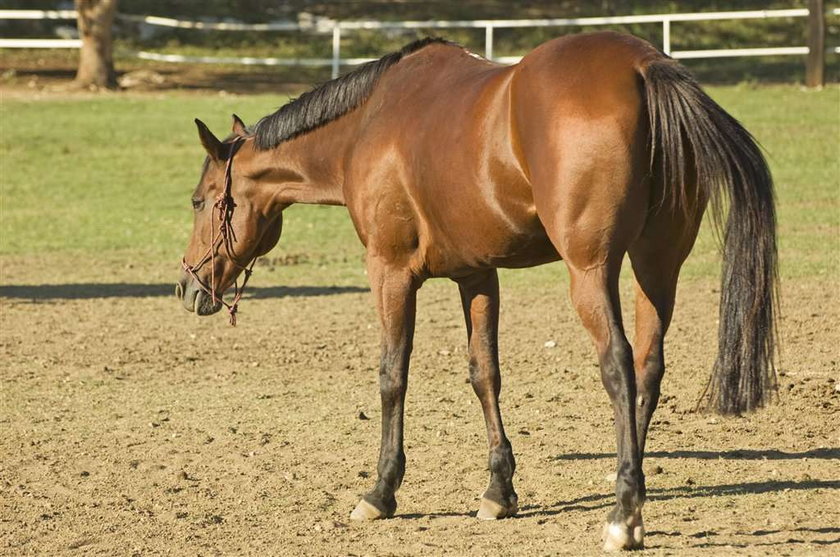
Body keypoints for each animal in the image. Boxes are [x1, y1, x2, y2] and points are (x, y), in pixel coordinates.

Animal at [174, 32, 776, 548]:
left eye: (200, 200)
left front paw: (381, 492)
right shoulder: (478, 276)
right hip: (657, 265)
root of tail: (642, 65)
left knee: (619, 365)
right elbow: (485, 375)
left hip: (591, 271)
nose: (187, 286)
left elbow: (393, 375)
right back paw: (633, 485)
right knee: (649, 367)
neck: (368, 125)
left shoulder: (390, 272)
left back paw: (623, 515)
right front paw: (498, 491)